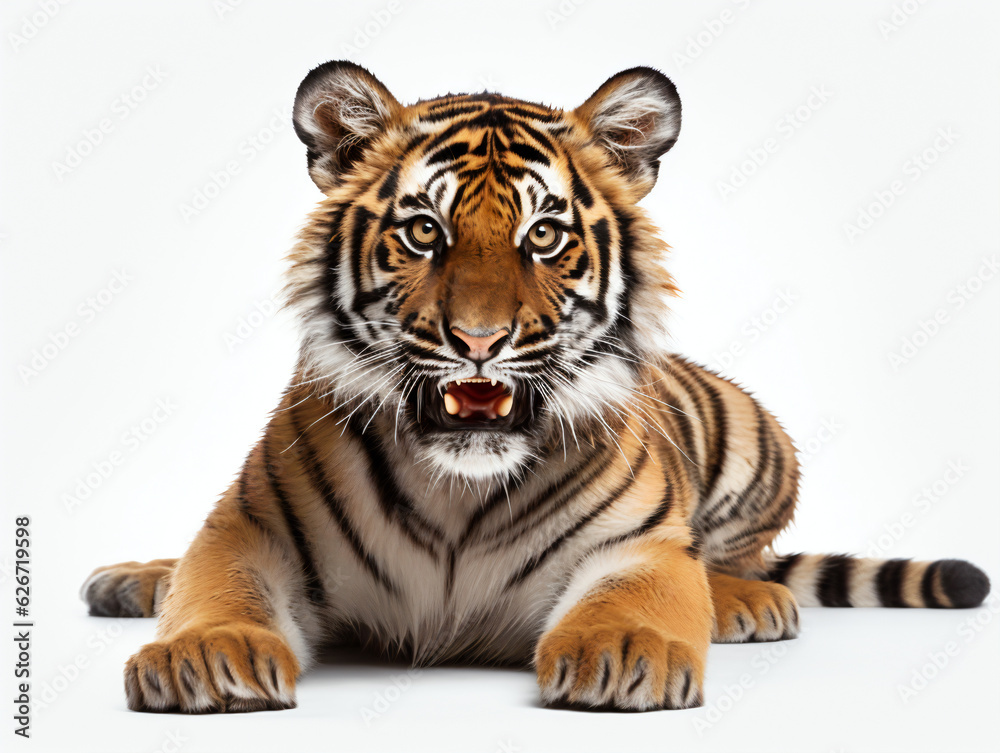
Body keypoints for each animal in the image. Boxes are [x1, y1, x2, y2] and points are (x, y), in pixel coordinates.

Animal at [82, 63, 988, 712]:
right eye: (424, 230)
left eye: (544, 235)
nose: (480, 340)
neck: (456, 485)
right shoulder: (249, 527)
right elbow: (215, 584)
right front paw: (204, 655)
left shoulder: (637, 540)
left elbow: (644, 589)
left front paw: (621, 652)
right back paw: (134, 577)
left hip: (757, 439)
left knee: (743, 555)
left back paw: (740, 599)